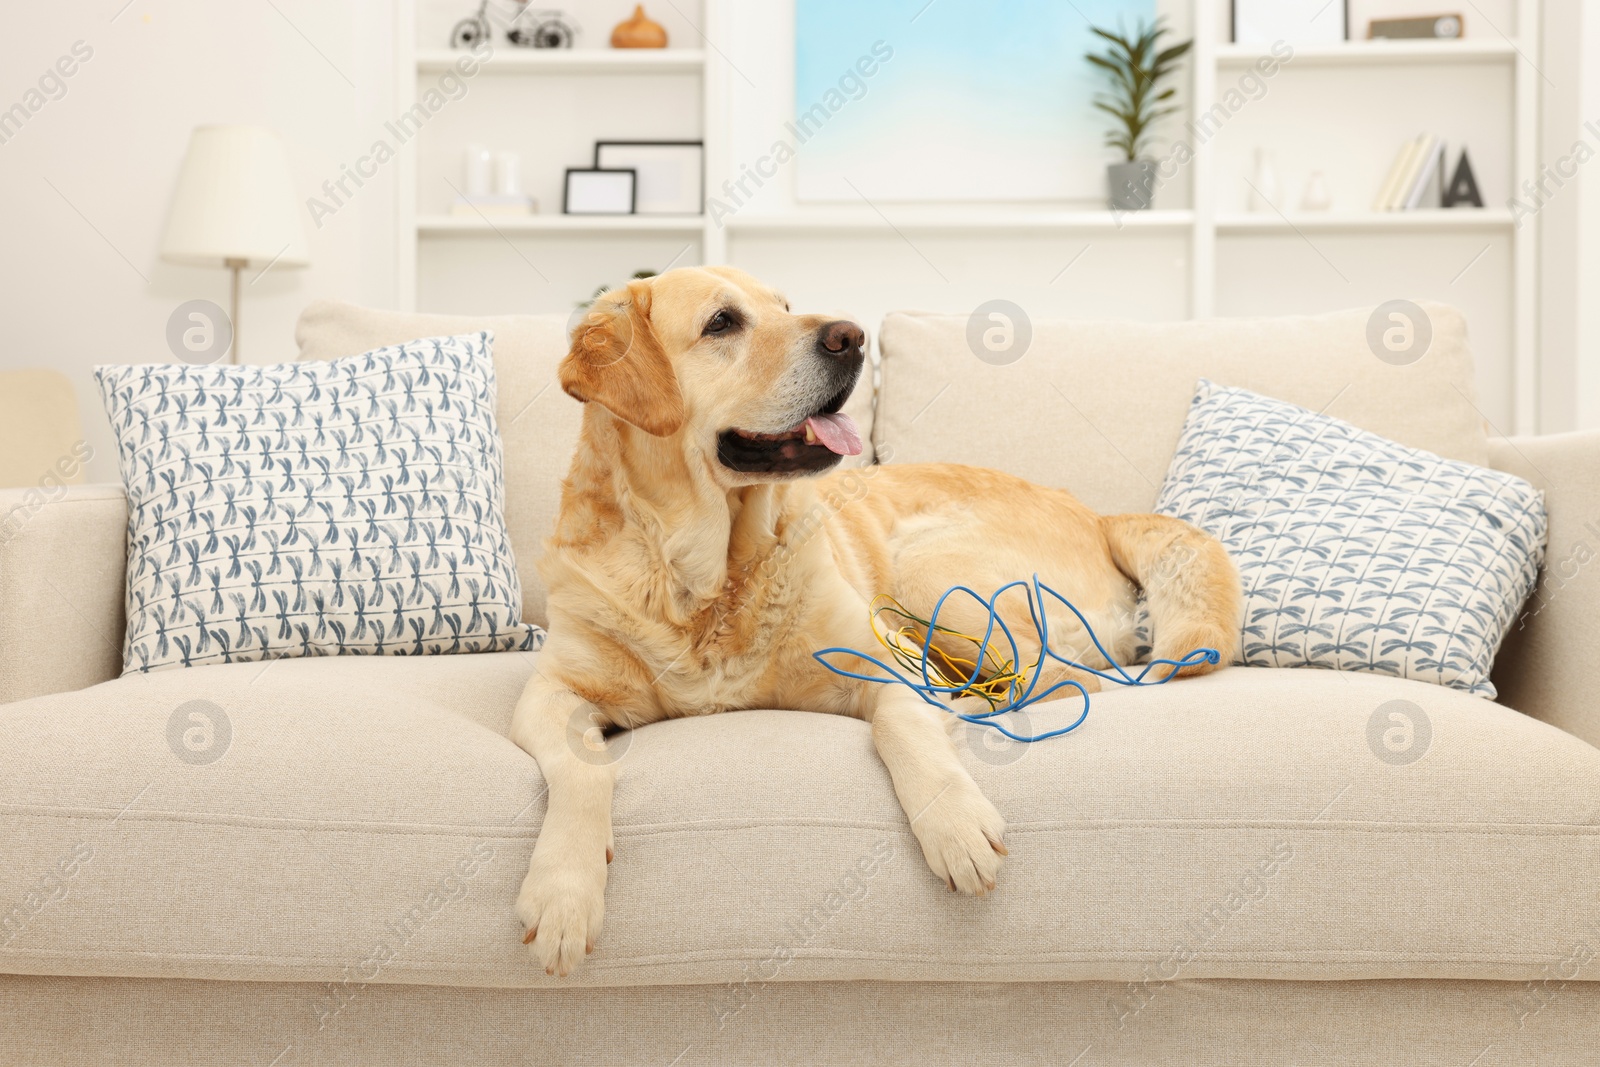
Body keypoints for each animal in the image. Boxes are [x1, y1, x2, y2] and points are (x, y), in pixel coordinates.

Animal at [508, 265, 1235, 979]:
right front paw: (564, 892)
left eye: (785, 305)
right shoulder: (548, 693)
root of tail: (1094, 513)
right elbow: (580, 766)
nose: (850, 336)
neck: (703, 580)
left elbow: (900, 725)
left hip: (930, 567)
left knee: (1065, 676)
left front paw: (955, 824)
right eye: (722, 323)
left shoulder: (886, 660)